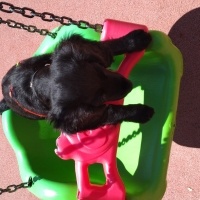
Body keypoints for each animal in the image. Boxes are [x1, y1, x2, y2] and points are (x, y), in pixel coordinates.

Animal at [0, 29, 154, 134]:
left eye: (99, 69)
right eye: (99, 98)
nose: (129, 85)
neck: (34, 84)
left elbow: (108, 47)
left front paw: (135, 40)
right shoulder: (91, 115)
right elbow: (111, 111)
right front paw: (141, 112)